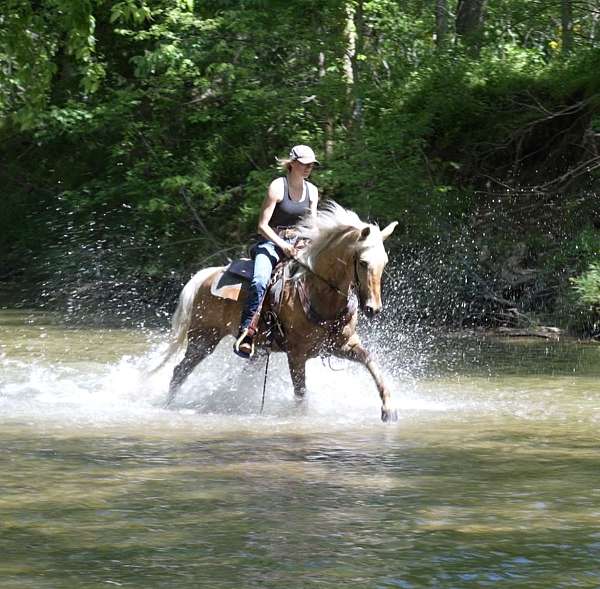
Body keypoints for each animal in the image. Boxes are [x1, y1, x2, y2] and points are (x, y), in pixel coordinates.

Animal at [158, 202, 398, 422]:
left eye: (385, 262)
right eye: (363, 262)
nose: (373, 309)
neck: (318, 293)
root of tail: (206, 276)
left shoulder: (343, 345)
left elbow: (371, 362)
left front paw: (389, 409)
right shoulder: (296, 354)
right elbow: (300, 392)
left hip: (254, 349)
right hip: (203, 339)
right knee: (179, 371)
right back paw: (168, 406)